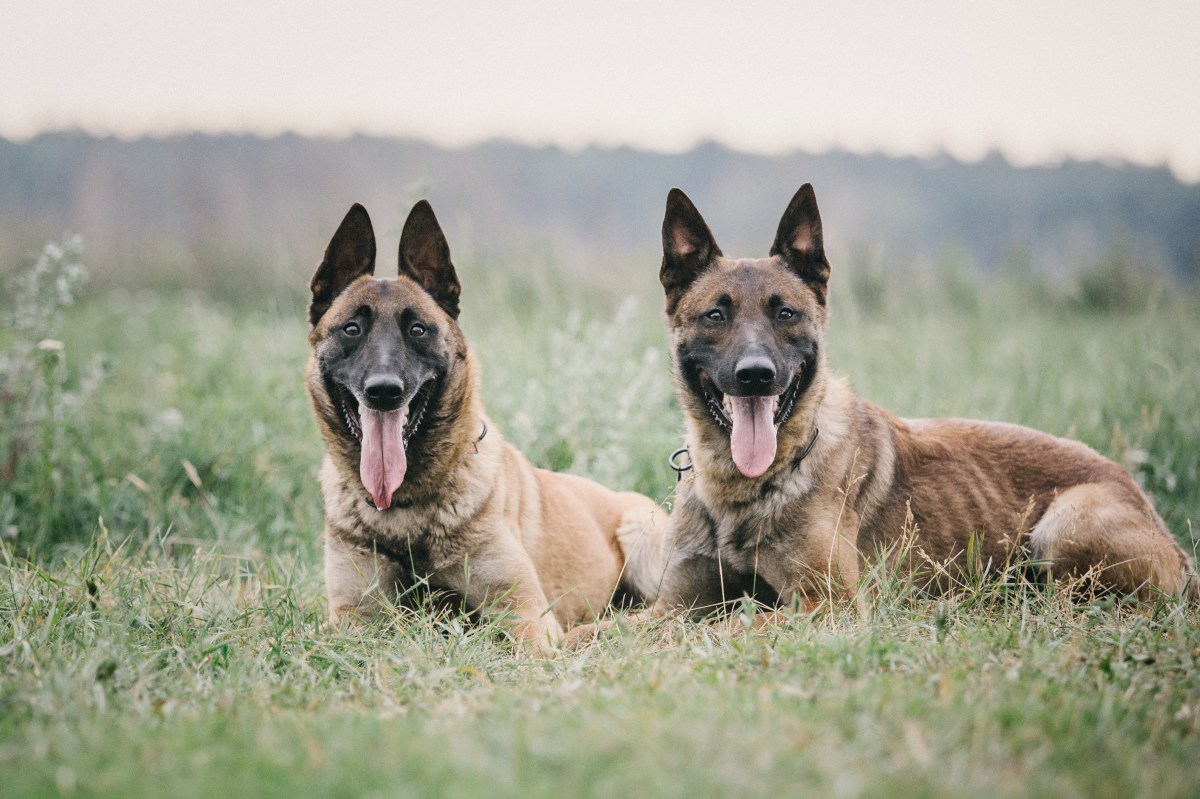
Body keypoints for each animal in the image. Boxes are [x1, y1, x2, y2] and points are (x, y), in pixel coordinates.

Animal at [304, 199, 667, 647]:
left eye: (418, 329)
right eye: (352, 329)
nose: (384, 391)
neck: (405, 509)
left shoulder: (526, 617)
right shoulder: (352, 617)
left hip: (640, 534)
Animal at [652, 183, 1195, 611]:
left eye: (785, 313)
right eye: (715, 315)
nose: (756, 376)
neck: (745, 489)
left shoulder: (827, 606)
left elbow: (736, 625)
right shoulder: (671, 607)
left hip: (1065, 523)